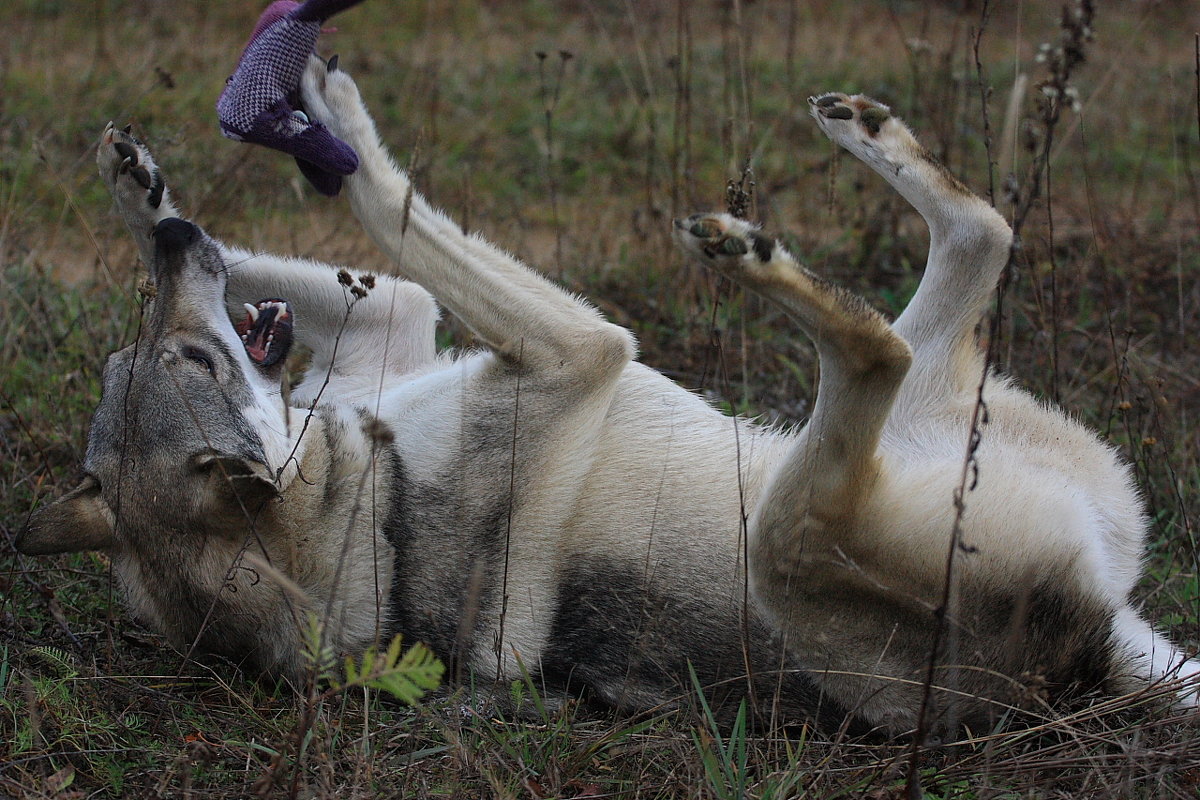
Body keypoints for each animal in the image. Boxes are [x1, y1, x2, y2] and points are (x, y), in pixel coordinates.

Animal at [18, 53, 1200, 734]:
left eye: (160, 360)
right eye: (201, 367)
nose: (180, 238)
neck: (354, 484)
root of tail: (1095, 656)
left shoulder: (397, 316)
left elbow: (367, 235)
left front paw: (147, 183)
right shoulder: (585, 345)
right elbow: (388, 197)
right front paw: (309, 121)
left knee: (981, 232)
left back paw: (862, 133)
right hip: (791, 535)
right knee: (883, 345)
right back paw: (754, 256)